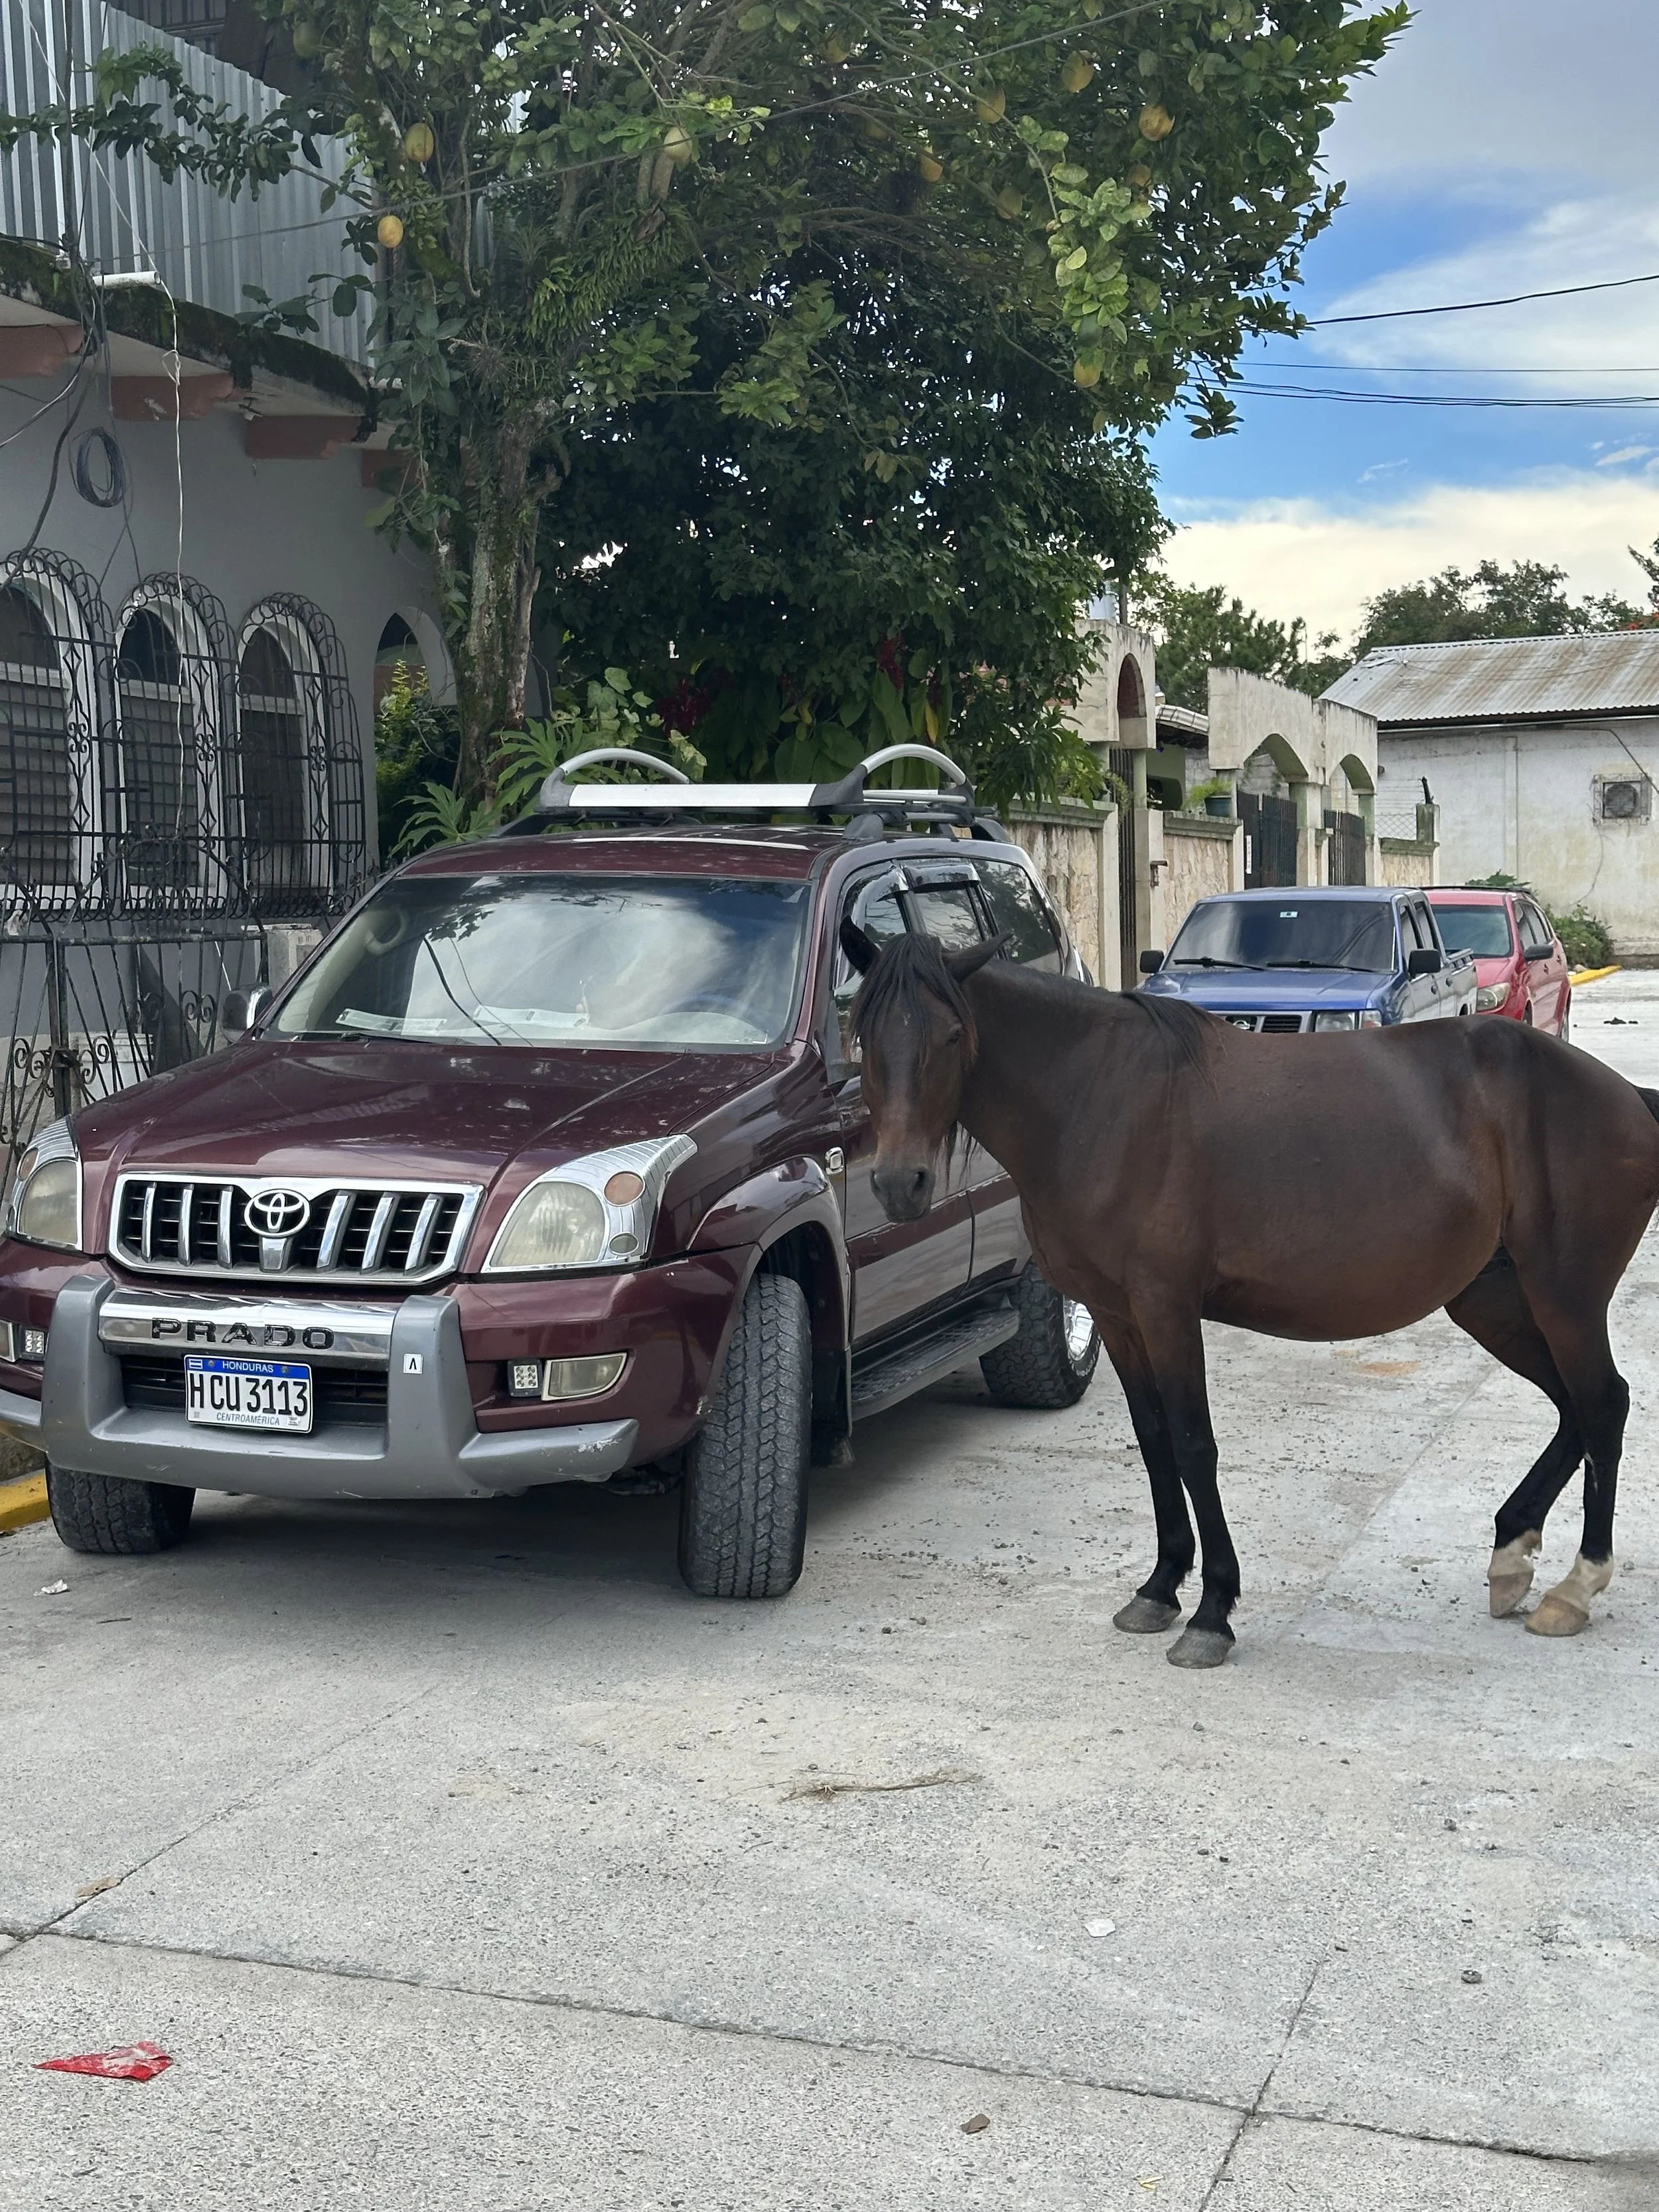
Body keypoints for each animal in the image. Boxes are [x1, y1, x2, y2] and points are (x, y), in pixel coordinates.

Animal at [839, 920, 1659, 1669]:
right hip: (1494, 1301)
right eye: (861, 1037)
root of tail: (1625, 1096)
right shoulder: (1116, 1314)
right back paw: (1511, 1556)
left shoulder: (1166, 1307)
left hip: (1563, 1297)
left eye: (953, 1034)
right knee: (1574, 1407)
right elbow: (1153, 1440)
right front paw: (1159, 1588)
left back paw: (1574, 1588)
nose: (900, 1182)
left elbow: (1194, 1445)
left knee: (1601, 1404)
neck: (1098, 1099)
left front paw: (1212, 1612)